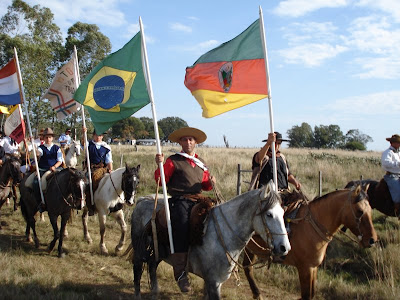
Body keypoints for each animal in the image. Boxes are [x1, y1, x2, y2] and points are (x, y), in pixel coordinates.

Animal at [131, 180, 290, 300]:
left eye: (283, 212)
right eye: (269, 214)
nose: (285, 248)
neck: (224, 235)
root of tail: (142, 200)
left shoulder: (212, 283)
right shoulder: (214, 282)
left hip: (158, 250)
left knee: (152, 266)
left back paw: (155, 293)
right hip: (139, 250)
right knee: (138, 270)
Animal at [242, 185, 376, 300]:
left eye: (370, 209)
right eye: (359, 211)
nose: (372, 240)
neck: (310, 226)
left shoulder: (313, 267)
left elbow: (311, 294)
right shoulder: (305, 268)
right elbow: (306, 295)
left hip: (249, 249)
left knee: (247, 268)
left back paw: (257, 294)